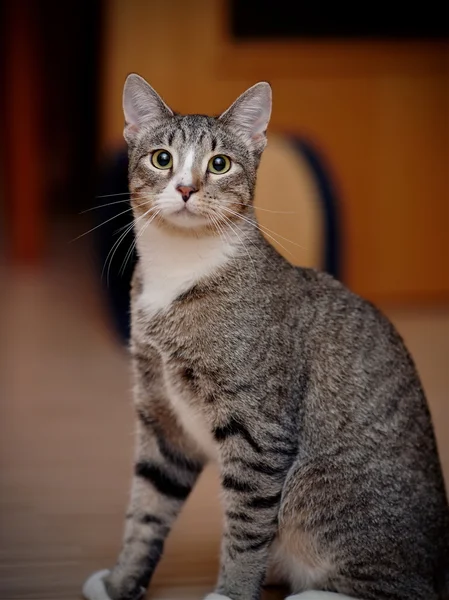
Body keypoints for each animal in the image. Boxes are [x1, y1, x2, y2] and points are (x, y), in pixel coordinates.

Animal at [82, 75, 446, 600]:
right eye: (162, 159)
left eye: (219, 164)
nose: (186, 188)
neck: (181, 271)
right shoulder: (162, 418)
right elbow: (147, 510)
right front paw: (120, 582)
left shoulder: (258, 432)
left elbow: (246, 529)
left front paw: (230, 593)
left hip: (329, 502)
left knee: (401, 590)